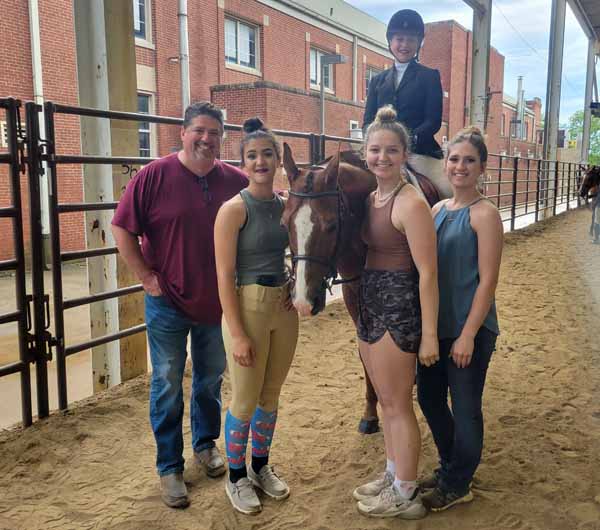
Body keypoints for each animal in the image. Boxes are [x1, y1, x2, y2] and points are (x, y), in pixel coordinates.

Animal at [284, 142, 448, 432]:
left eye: (331, 225)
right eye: (284, 223)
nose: (303, 300)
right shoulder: (354, 297)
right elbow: (365, 354)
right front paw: (370, 414)